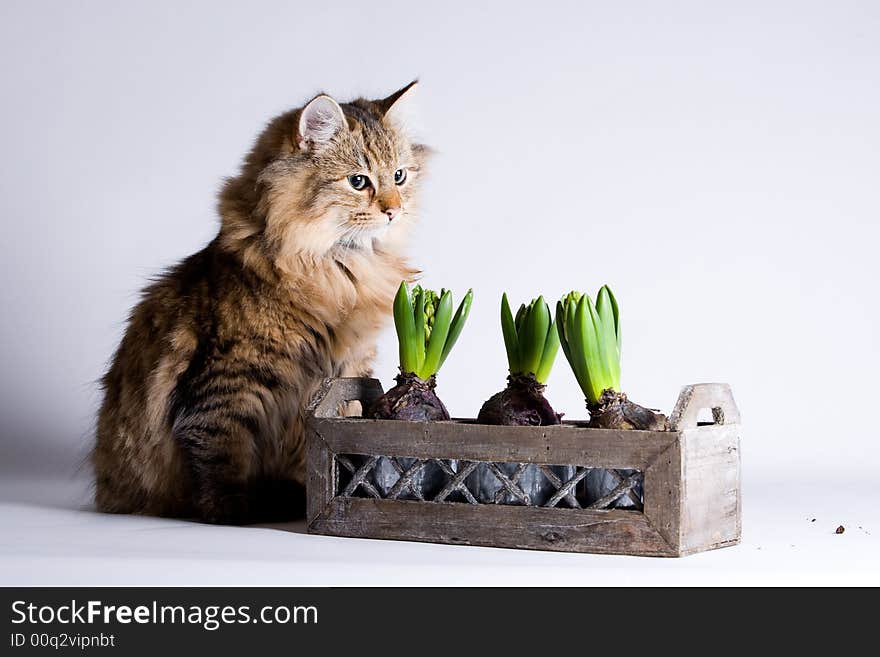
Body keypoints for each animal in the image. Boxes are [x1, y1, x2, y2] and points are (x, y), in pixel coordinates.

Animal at [92, 80, 426, 524]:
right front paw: (231, 511)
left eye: (399, 176)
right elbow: (221, 451)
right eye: (358, 181)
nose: (394, 210)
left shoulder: (350, 368)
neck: (337, 267)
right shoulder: (231, 376)